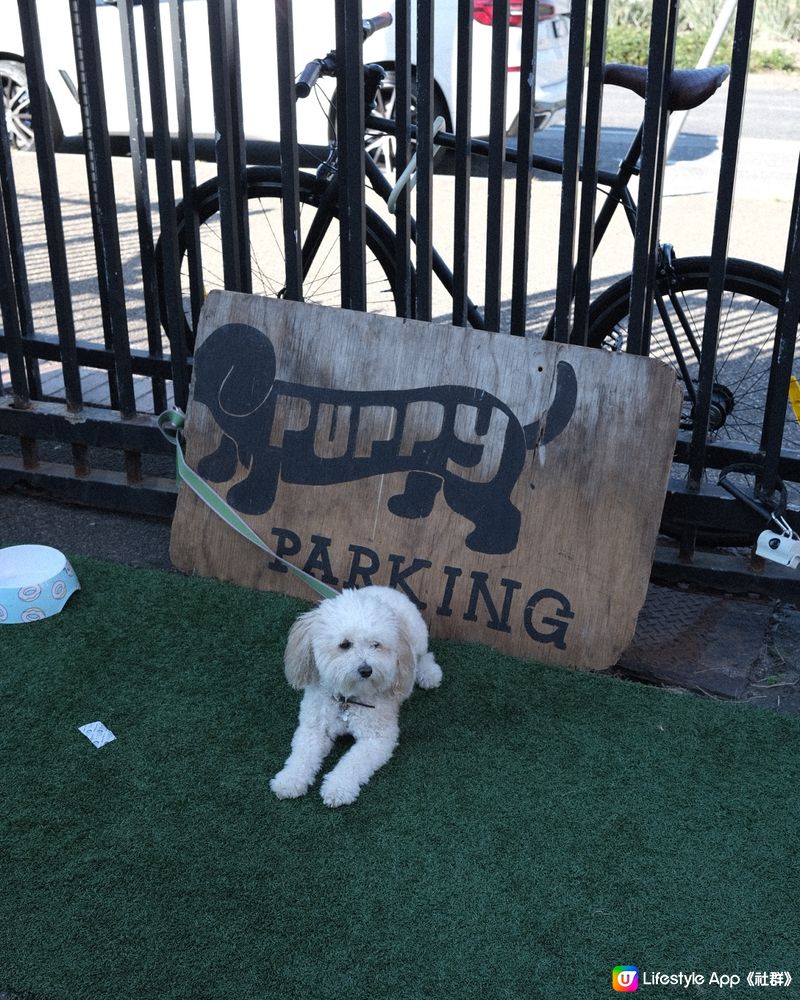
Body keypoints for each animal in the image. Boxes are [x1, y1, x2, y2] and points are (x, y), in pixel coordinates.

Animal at [270, 584, 444, 804]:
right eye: (345, 644)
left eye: (376, 644)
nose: (366, 670)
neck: (347, 700)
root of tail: (386, 588)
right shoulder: (313, 727)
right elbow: (302, 755)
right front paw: (289, 780)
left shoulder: (377, 738)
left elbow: (353, 763)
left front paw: (337, 788)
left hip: (418, 637)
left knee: (423, 657)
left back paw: (429, 674)